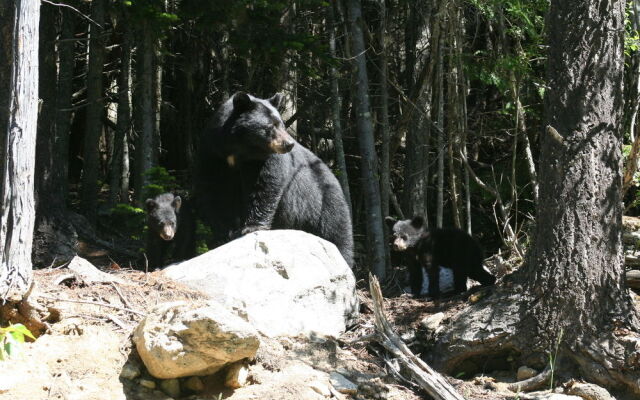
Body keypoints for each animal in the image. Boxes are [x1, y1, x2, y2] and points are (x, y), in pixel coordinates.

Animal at [195, 90, 356, 266]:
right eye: (270, 126)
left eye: (282, 125)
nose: (289, 143)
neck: (239, 152)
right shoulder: (212, 155)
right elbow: (217, 192)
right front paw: (225, 234)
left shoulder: (264, 160)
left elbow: (266, 185)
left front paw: (252, 227)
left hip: (324, 204)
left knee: (337, 234)